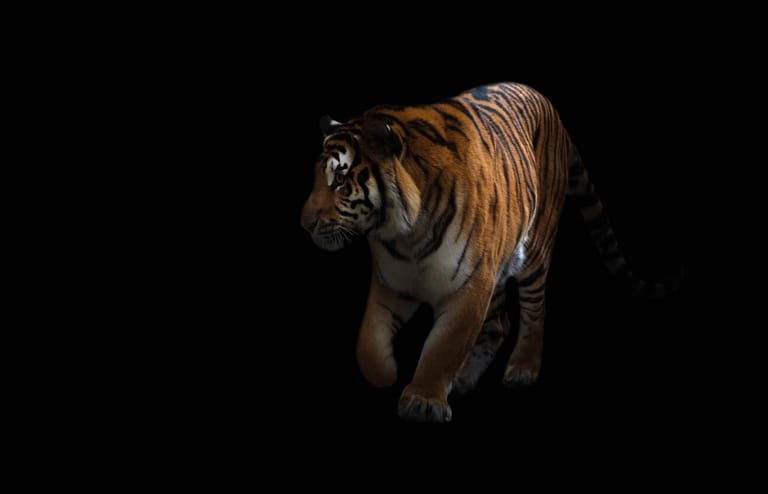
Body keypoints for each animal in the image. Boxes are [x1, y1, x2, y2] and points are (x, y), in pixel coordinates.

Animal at [300, 82, 676, 423]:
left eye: (339, 181)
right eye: (318, 178)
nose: (304, 224)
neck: (404, 235)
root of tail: (547, 103)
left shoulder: (469, 285)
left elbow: (443, 346)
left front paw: (423, 401)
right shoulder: (393, 283)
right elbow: (368, 341)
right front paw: (387, 375)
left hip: (533, 252)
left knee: (534, 313)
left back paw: (522, 368)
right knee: (498, 323)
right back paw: (465, 378)